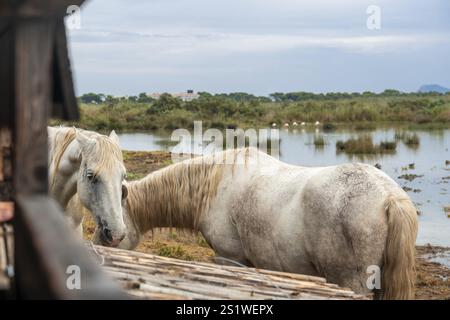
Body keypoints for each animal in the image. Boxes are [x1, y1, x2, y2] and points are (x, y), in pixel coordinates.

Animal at [91, 148, 418, 300]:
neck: (213, 184)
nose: (96, 247)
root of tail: (389, 196)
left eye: (112, 219)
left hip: (352, 282)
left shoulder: (230, 259)